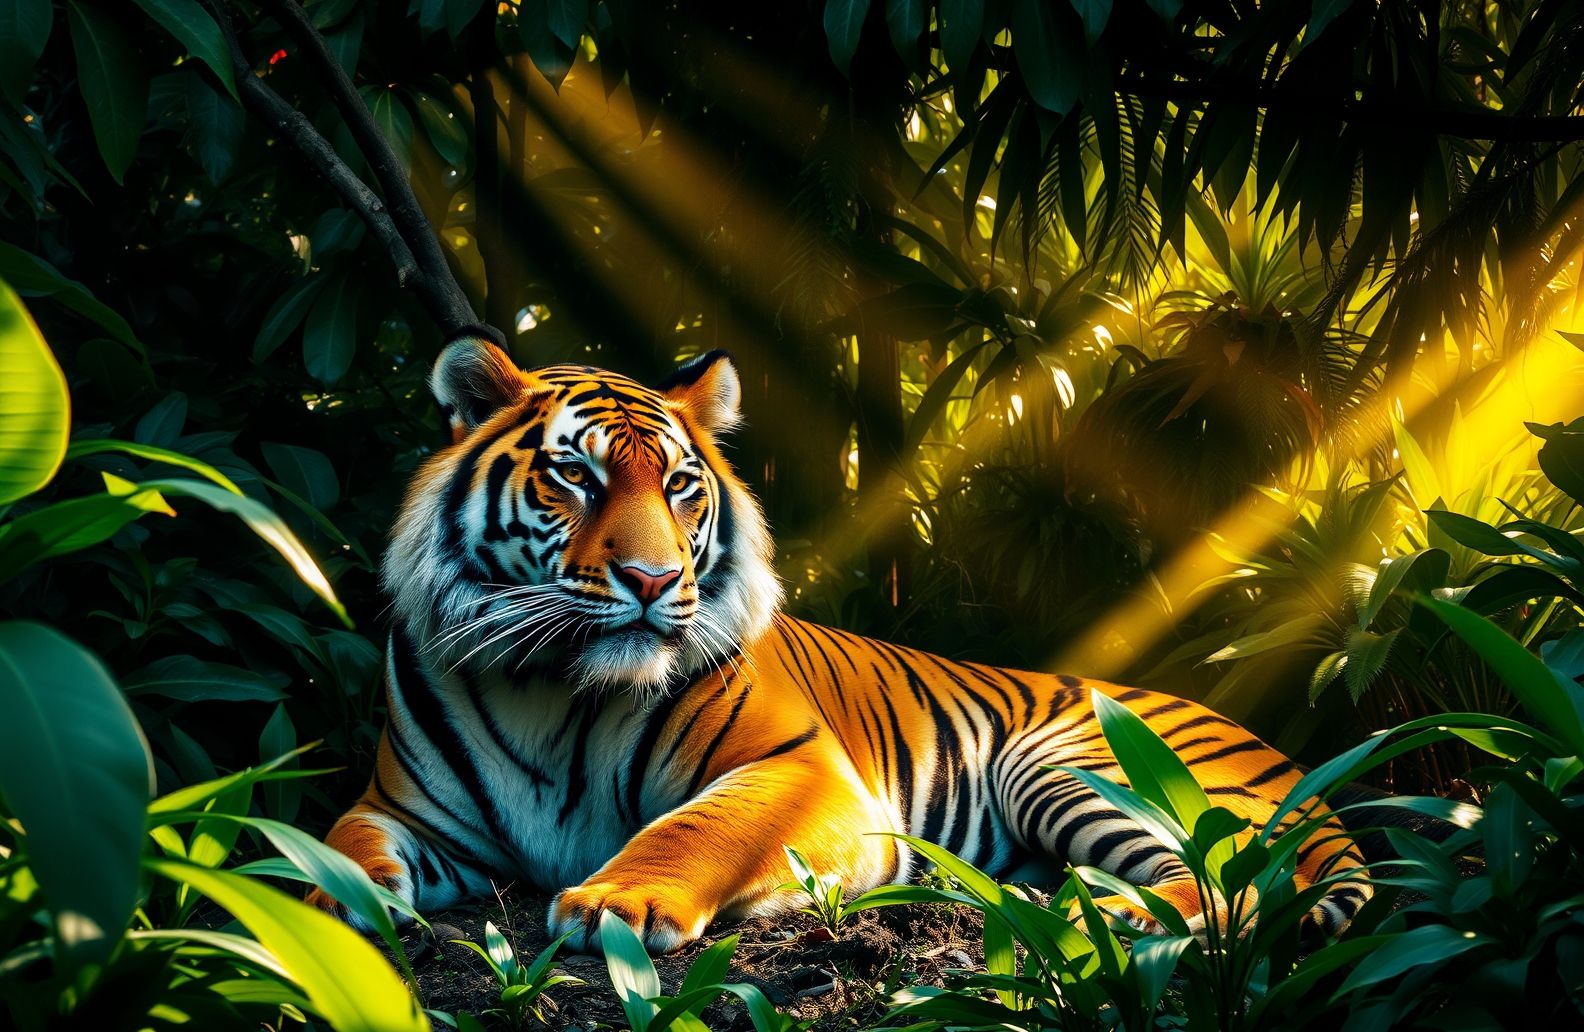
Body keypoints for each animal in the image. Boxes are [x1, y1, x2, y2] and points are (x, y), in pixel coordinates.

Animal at [308, 336, 1370, 954]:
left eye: (680, 487)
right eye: (575, 476)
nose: (652, 581)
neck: (555, 689)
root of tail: (1303, 771)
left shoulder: (802, 767)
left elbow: (695, 828)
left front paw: (618, 904)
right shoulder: (405, 809)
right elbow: (343, 837)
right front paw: (320, 894)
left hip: (1074, 761)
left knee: (1241, 878)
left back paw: (1091, 913)